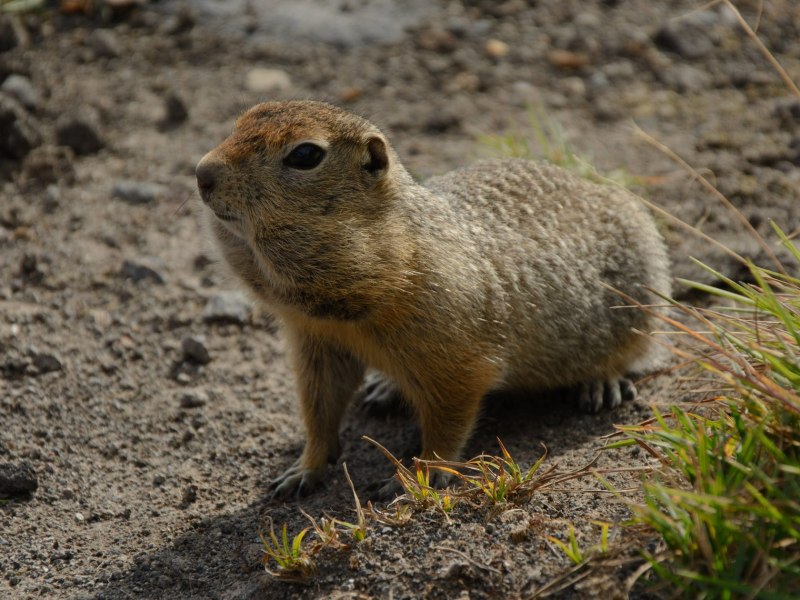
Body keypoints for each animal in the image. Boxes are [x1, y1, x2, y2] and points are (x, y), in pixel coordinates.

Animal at [197, 101, 672, 500]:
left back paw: (602, 383)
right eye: (241, 119)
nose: (202, 173)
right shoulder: (317, 343)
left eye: (305, 155)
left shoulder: (458, 359)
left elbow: (447, 424)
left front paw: (417, 478)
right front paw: (301, 471)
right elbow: (319, 410)